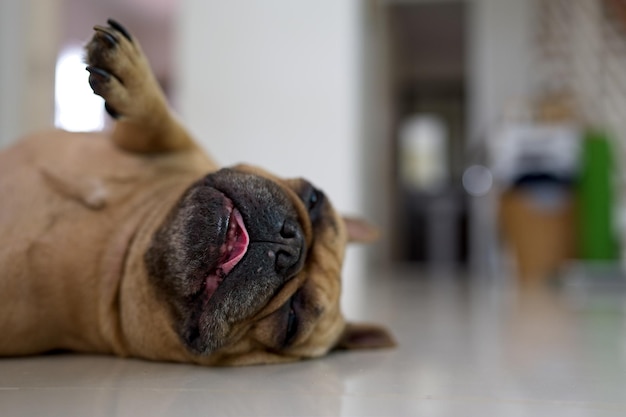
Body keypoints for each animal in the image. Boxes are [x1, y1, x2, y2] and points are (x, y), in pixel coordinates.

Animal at [0, 20, 390, 364]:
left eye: (291, 322)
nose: (289, 243)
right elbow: (166, 126)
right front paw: (133, 76)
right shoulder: (184, 152)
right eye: (313, 198)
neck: (125, 249)